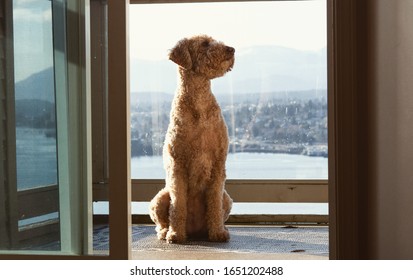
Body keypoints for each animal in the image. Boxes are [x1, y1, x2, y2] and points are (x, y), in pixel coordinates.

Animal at [149, 35, 233, 244]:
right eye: (204, 43)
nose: (231, 49)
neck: (199, 101)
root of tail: (195, 230)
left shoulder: (218, 164)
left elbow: (214, 204)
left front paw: (217, 233)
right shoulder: (177, 164)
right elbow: (178, 204)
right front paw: (176, 235)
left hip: (227, 198)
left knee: (220, 209)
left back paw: (220, 228)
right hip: (159, 197)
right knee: (161, 222)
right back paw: (167, 232)